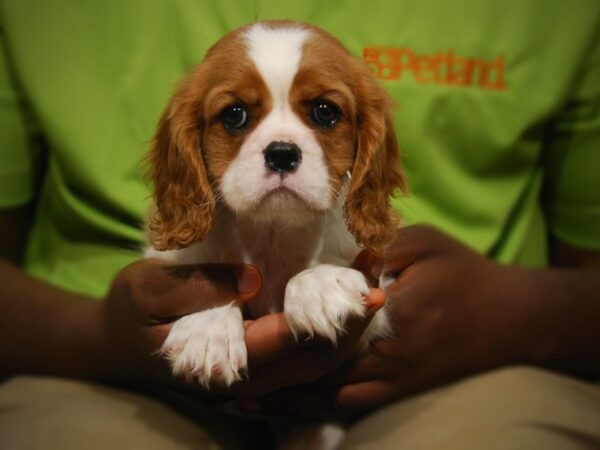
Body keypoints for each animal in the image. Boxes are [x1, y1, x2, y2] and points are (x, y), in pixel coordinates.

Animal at [145, 20, 406, 394]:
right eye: (234, 114)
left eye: (325, 112)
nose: (282, 153)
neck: (273, 232)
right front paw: (207, 328)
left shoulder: (377, 300)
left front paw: (319, 284)